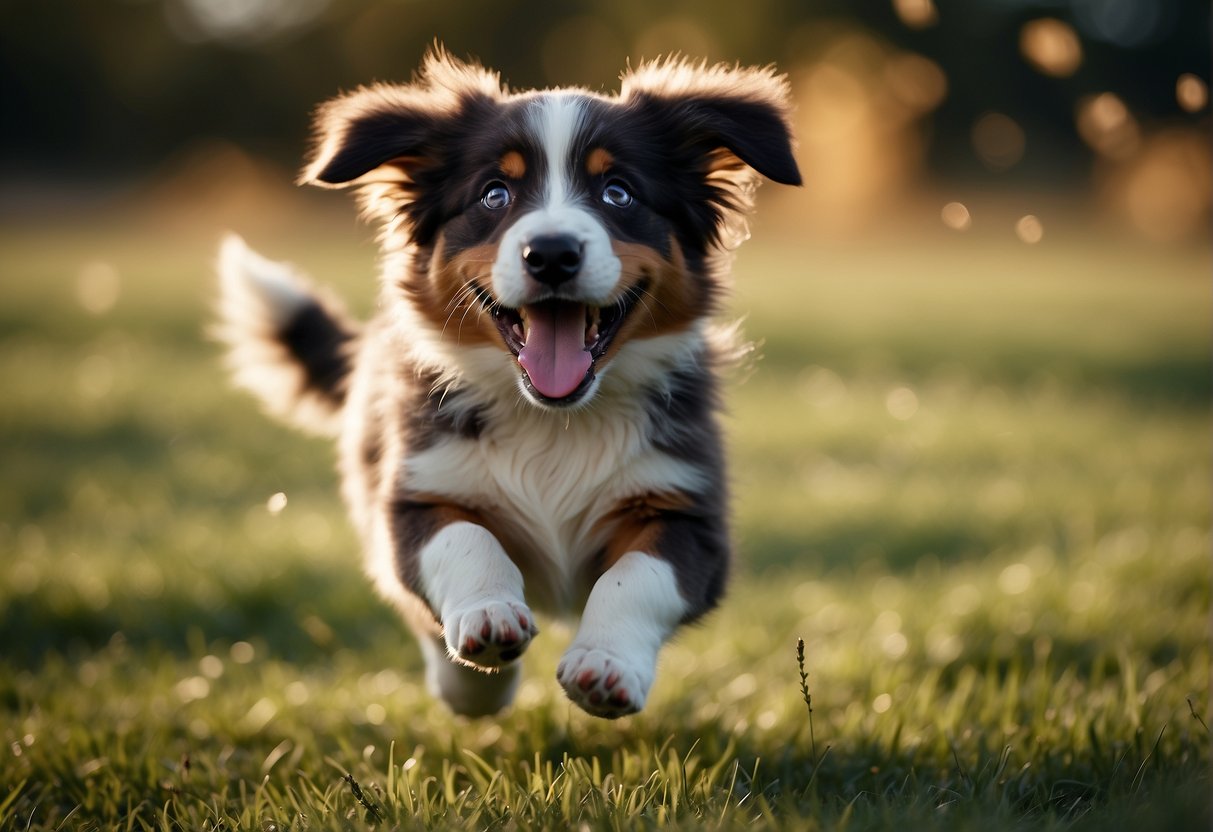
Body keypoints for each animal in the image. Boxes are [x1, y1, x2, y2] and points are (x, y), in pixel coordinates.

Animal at [215, 48, 805, 717]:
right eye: (495, 194)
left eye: (618, 192)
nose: (550, 253)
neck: (554, 421)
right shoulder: (415, 491)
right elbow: (463, 540)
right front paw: (482, 648)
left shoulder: (688, 507)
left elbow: (637, 577)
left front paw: (605, 665)